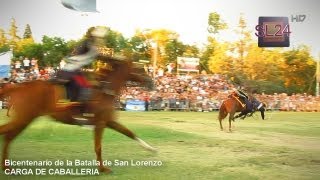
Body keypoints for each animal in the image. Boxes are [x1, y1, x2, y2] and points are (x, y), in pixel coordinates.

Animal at [0, 57, 155, 174]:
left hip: (23, 120)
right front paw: (102, 168)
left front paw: (150, 148)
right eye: (140, 69)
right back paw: (6, 167)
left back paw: (6, 166)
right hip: (24, 118)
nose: (152, 83)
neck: (105, 89)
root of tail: (19, 86)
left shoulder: (108, 121)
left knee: (8, 137)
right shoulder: (100, 124)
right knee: (7, 135)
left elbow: (129, 133)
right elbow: (98, 147)